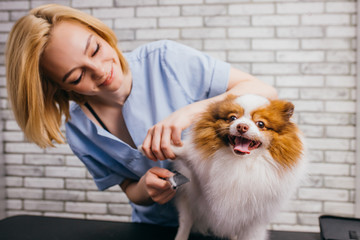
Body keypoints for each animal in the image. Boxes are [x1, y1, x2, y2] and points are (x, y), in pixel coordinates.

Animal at [173, 94, 306, 240]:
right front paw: (172, 148)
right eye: (232, 118)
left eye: (260, 124)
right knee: (186, 221)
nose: (242, 126)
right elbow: (188, 154)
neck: (240, 162)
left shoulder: (254, 220)